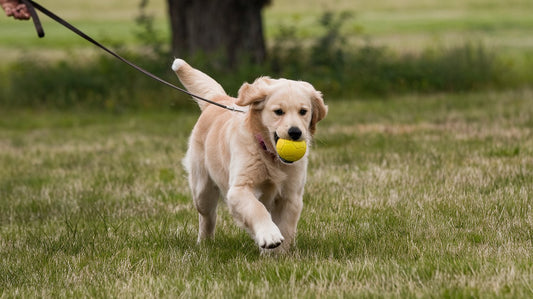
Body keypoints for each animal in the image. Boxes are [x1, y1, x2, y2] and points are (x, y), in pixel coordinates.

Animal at [172, 58, 326, 251]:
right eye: (278, 111)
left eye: (303, 112)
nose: (295, 132)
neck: (269, 154)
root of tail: (218, 99)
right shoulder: (239, 189)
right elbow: (256, 208)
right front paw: (269, 235)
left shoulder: (291, 196)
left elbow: (286, 226)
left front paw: (279, 253)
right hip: (202, 189)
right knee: (208, 216)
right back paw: (205, 243)